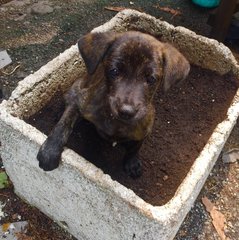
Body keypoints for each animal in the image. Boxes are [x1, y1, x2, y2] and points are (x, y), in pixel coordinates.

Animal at [37, 31, 190, 177]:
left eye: (151, 79)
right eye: (114, 71)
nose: (127, 111)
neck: (116, 121)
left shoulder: (145, 128)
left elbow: (135, 147)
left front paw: (132, 162)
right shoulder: (80, 100)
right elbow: (64, 124)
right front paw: (49, 151)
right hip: (76, 87)